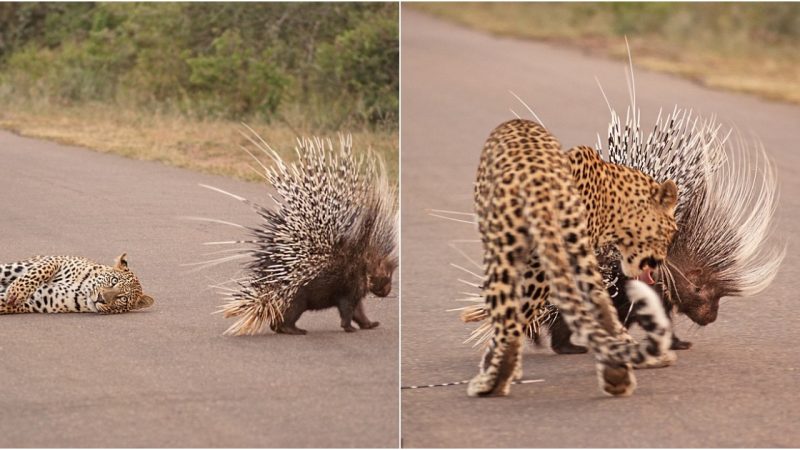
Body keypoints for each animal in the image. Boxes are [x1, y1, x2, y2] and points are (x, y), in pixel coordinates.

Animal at [0, 253, 153, 312]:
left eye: (123, 298)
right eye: (114, 280)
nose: (101, 298)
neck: (83, 291)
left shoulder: (34, 301)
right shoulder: (57, 259)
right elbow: (40, 271)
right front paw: (17, 291)